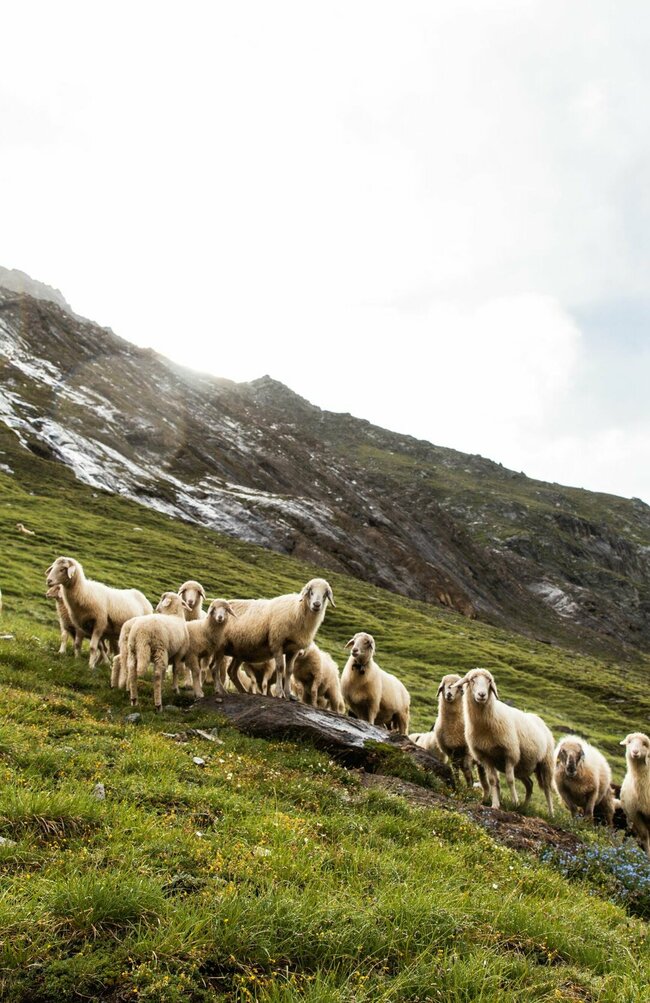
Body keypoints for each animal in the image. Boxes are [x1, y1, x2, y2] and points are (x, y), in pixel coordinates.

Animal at [454, 668, 555, 815]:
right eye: (472, 680)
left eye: (489, 681)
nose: (482, 695)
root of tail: (540, 720)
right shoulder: (486, 757)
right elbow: (492, 781)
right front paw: (495, 804)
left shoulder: (510, 753)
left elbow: (509, 780)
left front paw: (514, 802)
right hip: (522, 766)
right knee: (530, 785)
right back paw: (523, 807)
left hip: (545, 763)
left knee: (547, 789)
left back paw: (551, 813)